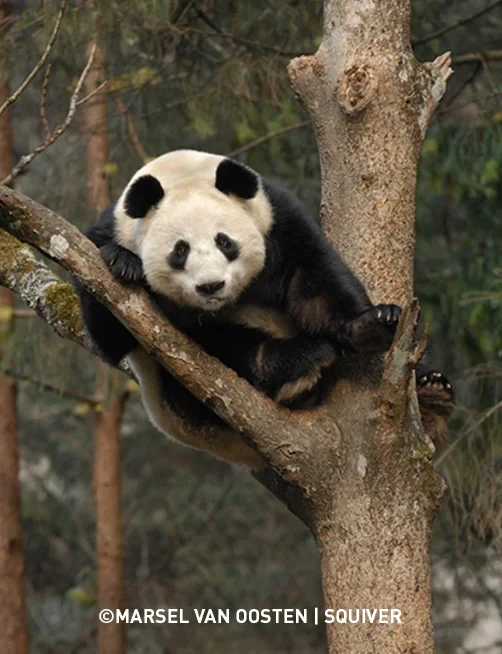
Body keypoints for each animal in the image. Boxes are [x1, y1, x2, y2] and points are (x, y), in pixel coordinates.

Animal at [78, 149, 455, 469]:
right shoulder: (111, 232)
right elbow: (110, 339)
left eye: (224, 241)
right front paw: (123, 263)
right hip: (179, 403)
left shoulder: (276, 216)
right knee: (222, 348)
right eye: (180, 250)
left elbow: (314, 279)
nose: (211, 287)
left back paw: (431, 393)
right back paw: (295, 364)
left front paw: (373, 325)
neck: (179, 172)